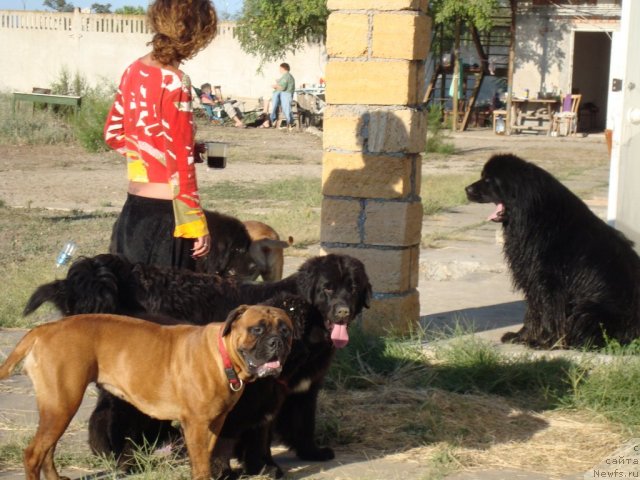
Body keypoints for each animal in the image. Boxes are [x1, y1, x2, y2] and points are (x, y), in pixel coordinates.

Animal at [0, 306, 294, 480]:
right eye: (257, 329)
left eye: (286, 330)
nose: (277, 342)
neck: (224, 355)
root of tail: (43, 329)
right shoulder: (197, 425)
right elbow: (201, 464)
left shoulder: (214, 424)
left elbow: (208, 457)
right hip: (62, 405)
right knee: (34, 454)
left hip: (57, 409)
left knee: (47, 450)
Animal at [464, 155, 640, 348]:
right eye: (483, 176)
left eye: (489, 180)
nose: (466, 189)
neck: (533, 215)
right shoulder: (531, 278)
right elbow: (533, 312)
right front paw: (521, 336)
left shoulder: (550, 282)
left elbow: (550, 312)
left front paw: (543, 341)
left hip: (589, 309)